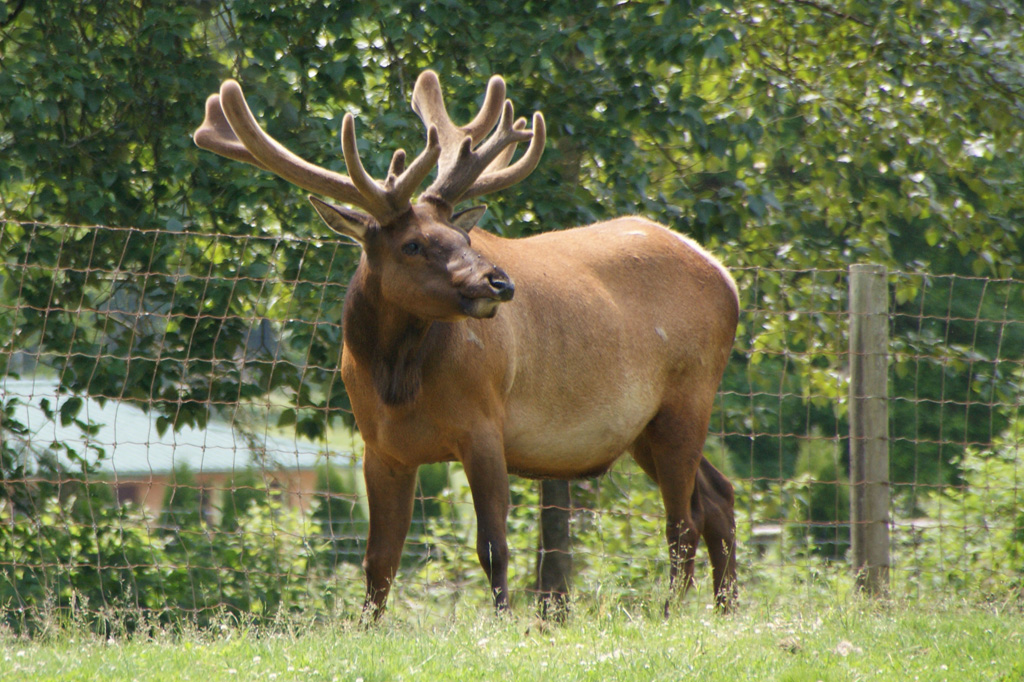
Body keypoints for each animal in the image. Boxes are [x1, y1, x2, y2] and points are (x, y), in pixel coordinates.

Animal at [194, 70, 739, 619]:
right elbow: (379, 558)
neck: (397, 383)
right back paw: (726, 608)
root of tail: (724, 273)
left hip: (688, 395)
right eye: (413, 244)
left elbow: (493, 545)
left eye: (465, 239)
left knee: (683, 521)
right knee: (718, 496)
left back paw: (671, 611)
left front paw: (503, 621)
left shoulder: (484, 424)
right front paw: (364, 626)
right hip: (643, 426)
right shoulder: (381, 447)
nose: (500, 282)